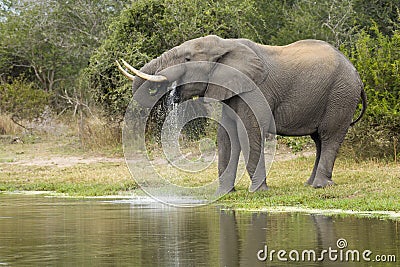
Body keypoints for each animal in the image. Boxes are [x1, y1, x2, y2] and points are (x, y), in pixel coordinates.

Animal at [115, 35, 366, 195]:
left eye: (187, 59)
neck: (226, 45)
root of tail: (356, 73)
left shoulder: (254, 89)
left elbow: (249, 131)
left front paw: (257, 192)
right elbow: (225, 136)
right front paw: (224, 193)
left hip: (341, 94)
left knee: (330, 136)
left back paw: (320, 186)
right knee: (318, 140)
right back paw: (309, 184)